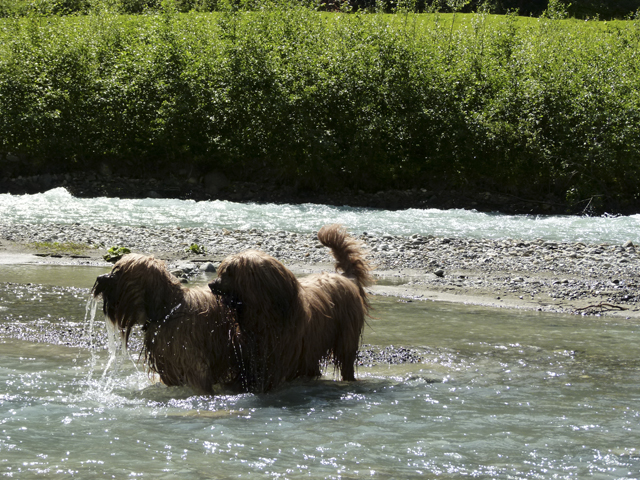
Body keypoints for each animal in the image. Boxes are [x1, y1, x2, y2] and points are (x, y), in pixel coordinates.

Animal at [208, 225, 372, 394]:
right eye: (223, 271)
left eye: (230, 273)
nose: (211, 284)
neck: (262, 316)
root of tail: (347, 278)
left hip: (344, 338)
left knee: (346, 361)